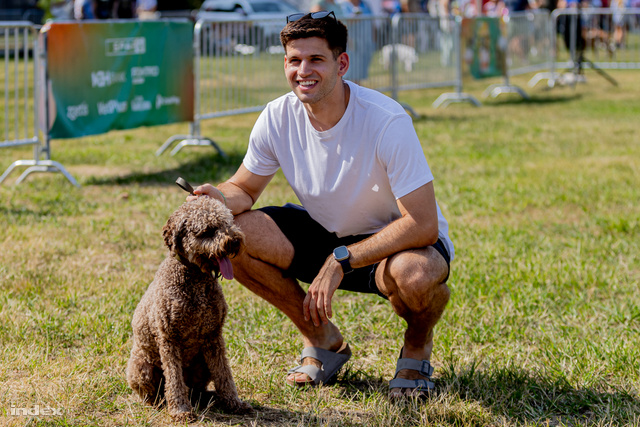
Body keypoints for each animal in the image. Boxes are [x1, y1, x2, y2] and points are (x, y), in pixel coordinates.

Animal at [126, 196, 254, 422]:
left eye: (228, 223)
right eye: (208, 230)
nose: (234, 241)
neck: (195, 279)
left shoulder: (214, 337)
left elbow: (224, 374)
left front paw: (234, 403)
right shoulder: (169, 340)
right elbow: (174, 380)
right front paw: (180, 410)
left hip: (202, 364)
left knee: (197, 389)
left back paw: (212, 397)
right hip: (142, 368)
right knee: (156, 393)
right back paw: (161, 403)